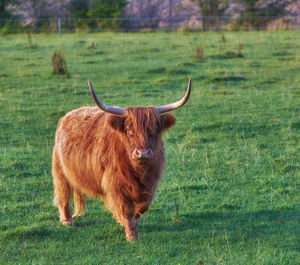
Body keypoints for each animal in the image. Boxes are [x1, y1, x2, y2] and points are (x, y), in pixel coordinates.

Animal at [51, 78, 191, 239]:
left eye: (153, 131)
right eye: (130, 132)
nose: (143, 153)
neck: (138, 172)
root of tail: (68, 115)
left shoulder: (150, 184)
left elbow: (141, 207)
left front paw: (131, 223)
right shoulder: (116, 185)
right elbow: (126, 209)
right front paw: (131, 234)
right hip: (60, 170)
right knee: (63, 194)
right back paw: (67, 221)